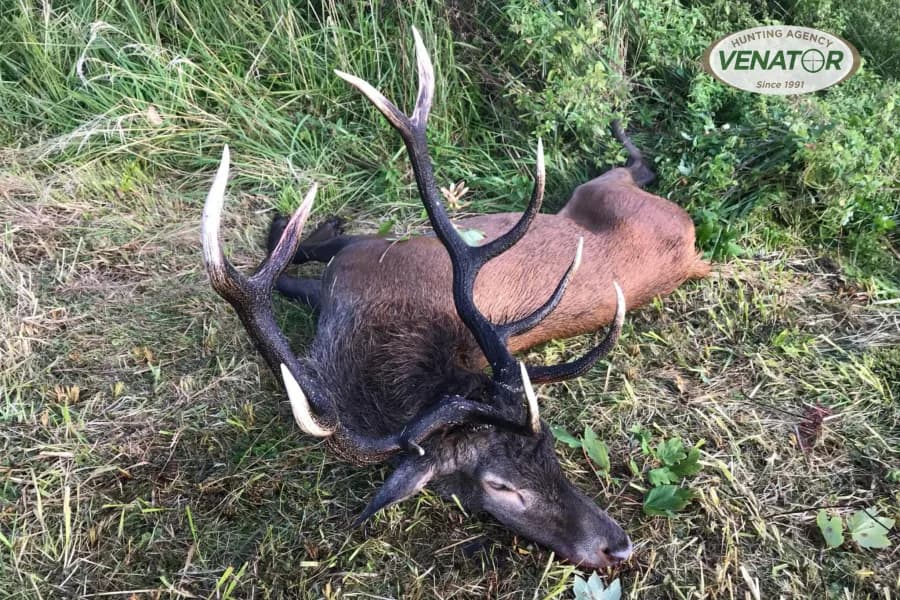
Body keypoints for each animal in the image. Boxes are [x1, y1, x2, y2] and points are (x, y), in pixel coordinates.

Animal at [201, 29, 709, 570]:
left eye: (550, 447)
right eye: (500, 486)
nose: (617, 546)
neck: (364, 335)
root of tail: (693, 247)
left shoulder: (367, 254)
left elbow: (297, 263)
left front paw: (286, 227)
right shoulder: (361, 262)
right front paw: (290, 228)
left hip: (598, 190)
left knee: (634, 168)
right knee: (642, 168)